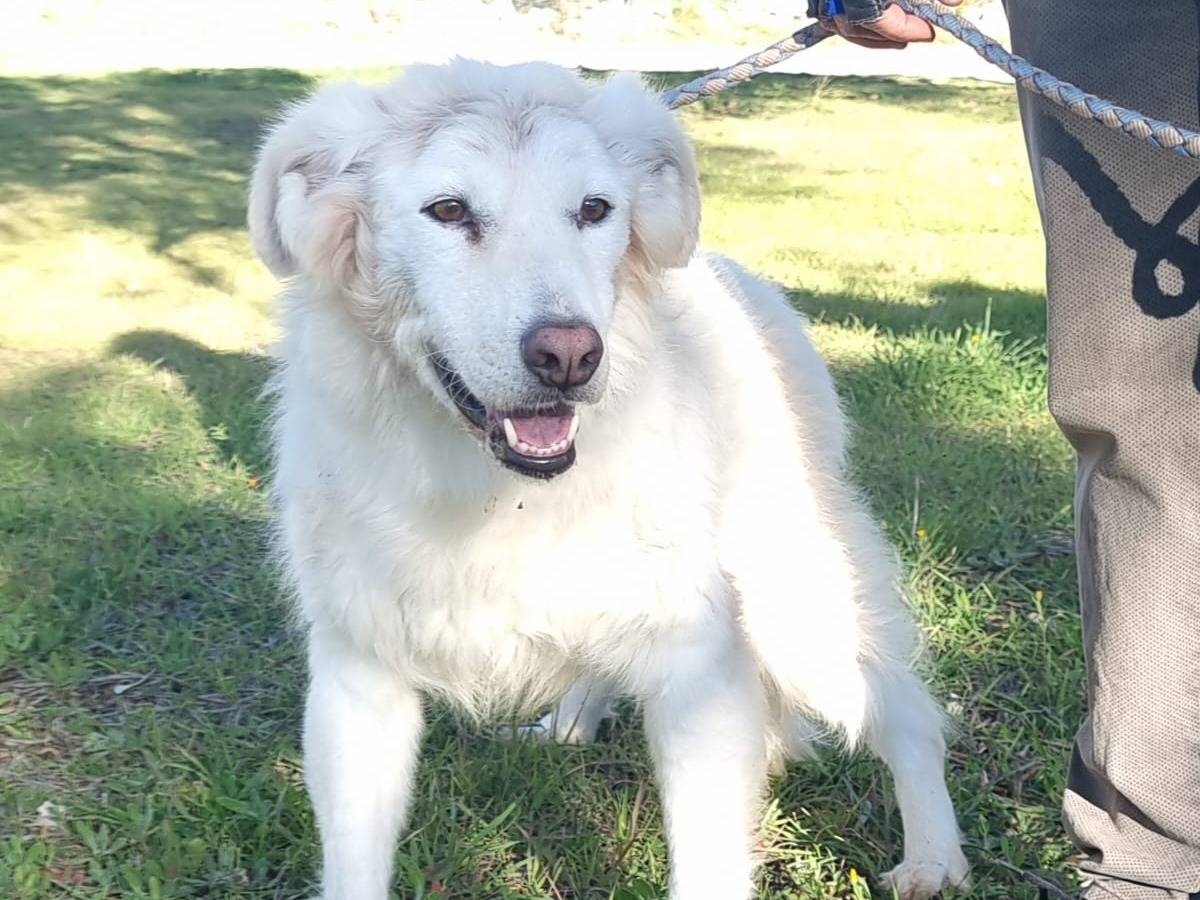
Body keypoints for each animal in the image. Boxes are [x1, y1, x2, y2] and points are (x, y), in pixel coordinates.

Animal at [248, 61, 969, 900]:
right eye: (449, 210)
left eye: (594, 210)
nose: (569, 355)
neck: (502, 495)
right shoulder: (359, 681)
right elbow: (354, 866)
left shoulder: (699, 677)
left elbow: (708, 865)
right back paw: (567, 725)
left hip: (800, 617)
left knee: (906, 715)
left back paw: (933, 859)